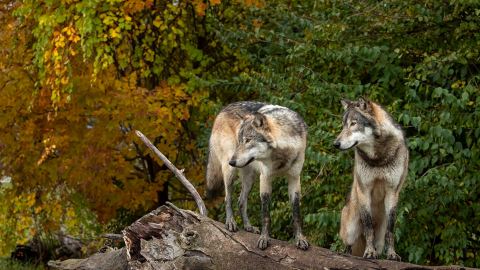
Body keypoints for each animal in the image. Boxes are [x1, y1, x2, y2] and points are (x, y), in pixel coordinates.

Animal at [206, 101, 312, 251]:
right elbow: (265, 214)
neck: (282, 155)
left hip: (250, 178)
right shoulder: (265, 178)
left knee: (241, 201)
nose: (232, 161)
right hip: (230, 173)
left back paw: (248, 226)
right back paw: (230, 222)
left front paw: (300, 239)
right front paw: (264, 239)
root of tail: (224, 108)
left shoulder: (294, 179)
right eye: (240, 141)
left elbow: (296, 214)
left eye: (248, 140)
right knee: (228, 198)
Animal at [334, 97, 408, 260]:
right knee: (348, 245)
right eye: (343, 125)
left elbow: (390, 231)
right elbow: (368, 226)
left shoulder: (393, 192)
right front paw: (369, 252)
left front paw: (392, 254)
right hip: (350, 229)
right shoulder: (364, 190)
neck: (378, 158)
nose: (335, 144)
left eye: (353, 123)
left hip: (379, 238)